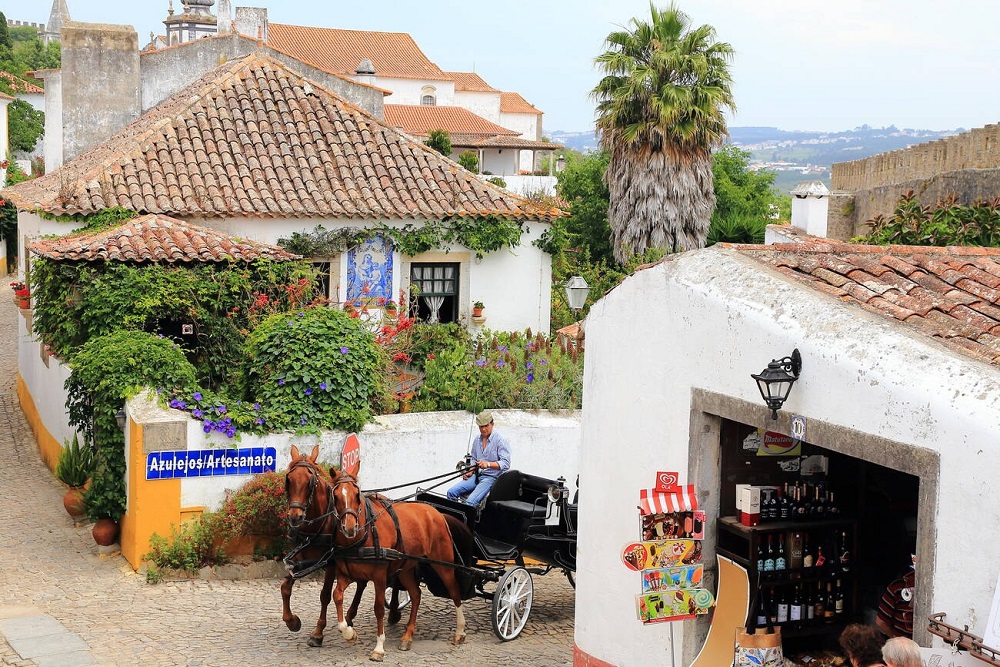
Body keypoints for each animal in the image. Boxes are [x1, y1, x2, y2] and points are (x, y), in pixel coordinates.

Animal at [328, 470, 468, 664]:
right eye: (335, 496)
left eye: (357, 494)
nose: (349, 528)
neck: (364, 536)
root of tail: (437, 512)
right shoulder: (346, 574)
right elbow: (337, 596)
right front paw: (349, 633)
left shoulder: (379, 577)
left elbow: (379, 608)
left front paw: (379, 647)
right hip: (407, 569)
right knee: (416, 594)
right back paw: (407, 636)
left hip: (443, 563)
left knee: (454, 591)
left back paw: (460, 631)